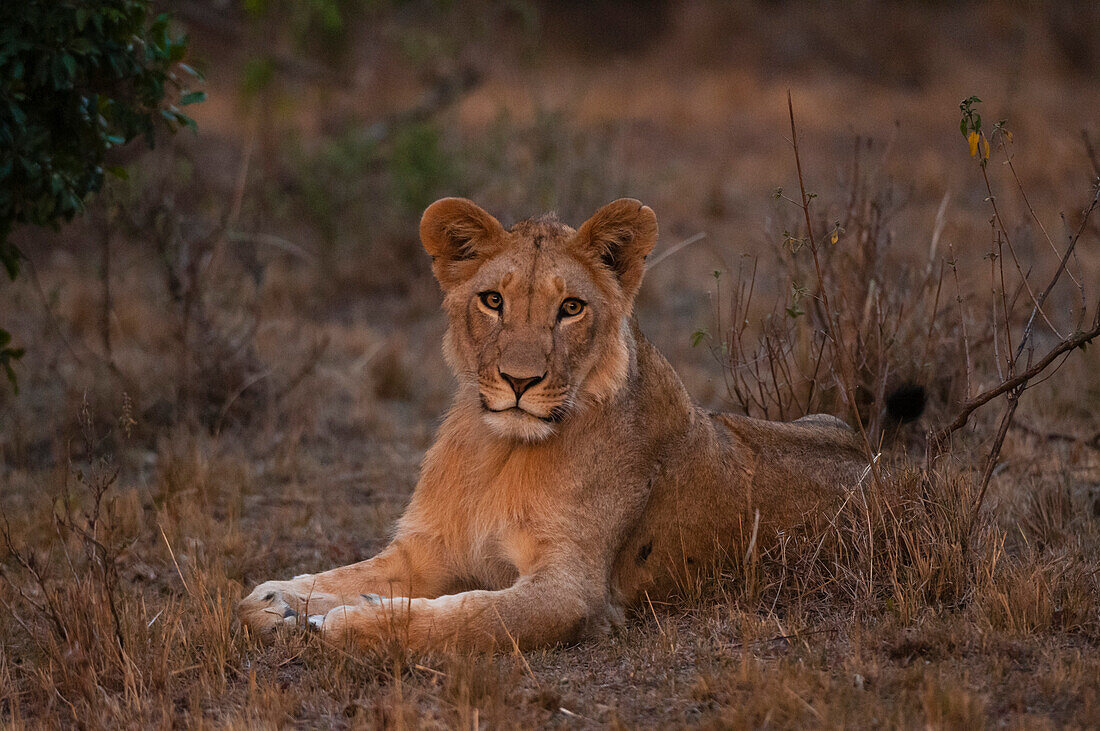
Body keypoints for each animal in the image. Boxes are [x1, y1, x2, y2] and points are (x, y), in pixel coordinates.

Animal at [236, 196, 871, 646]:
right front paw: (277, 599)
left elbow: (471, 618)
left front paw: (351, 623)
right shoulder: (429, 550)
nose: (519, 381)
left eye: (571, 308)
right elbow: (336, 577)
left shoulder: (572, 591)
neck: (501, 450)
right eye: (492, 300)